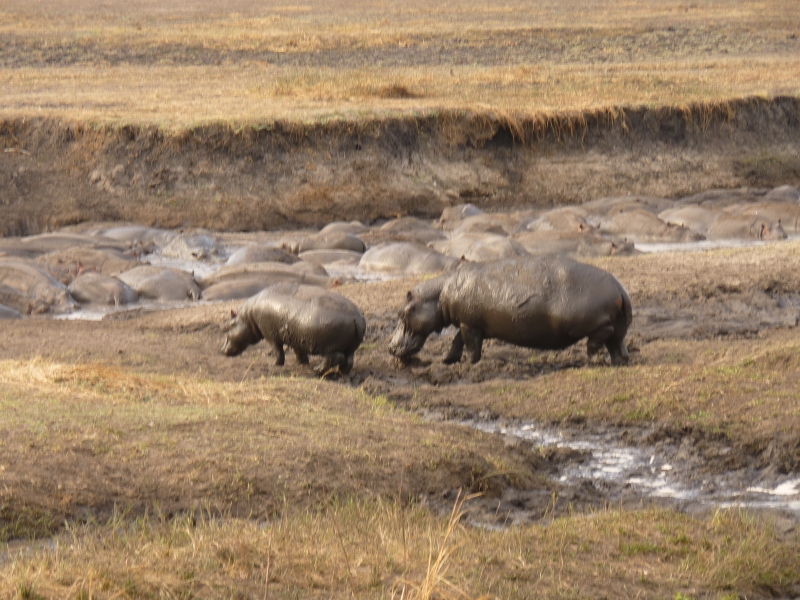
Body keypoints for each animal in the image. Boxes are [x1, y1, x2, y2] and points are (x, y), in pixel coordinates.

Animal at [221, 283, 366, 375]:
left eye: (227, 327)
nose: (222, 350)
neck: (247, 316)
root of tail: (357, 318)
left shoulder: (270, 335)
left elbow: (278, 351)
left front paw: (274, 364)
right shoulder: (296, 336)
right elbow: (298, 351)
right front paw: (302, 363)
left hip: (330, 347)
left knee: (335, 357)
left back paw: (317, 370)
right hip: (350, 347)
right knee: (348, 361)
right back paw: (342, 373)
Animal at [389, 256, 632, 365]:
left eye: (401, 313)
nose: (390, 347)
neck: (439, 294)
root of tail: (619, 287)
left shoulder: (470, 325)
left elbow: (470, 345)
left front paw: (469, 364)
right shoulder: (469, 323)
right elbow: (457, 341)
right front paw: (448, 361)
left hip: (589, 323)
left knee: (603, 335)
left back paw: (592, 356)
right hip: (618, 325)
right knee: (617, 343)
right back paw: (618, 361)